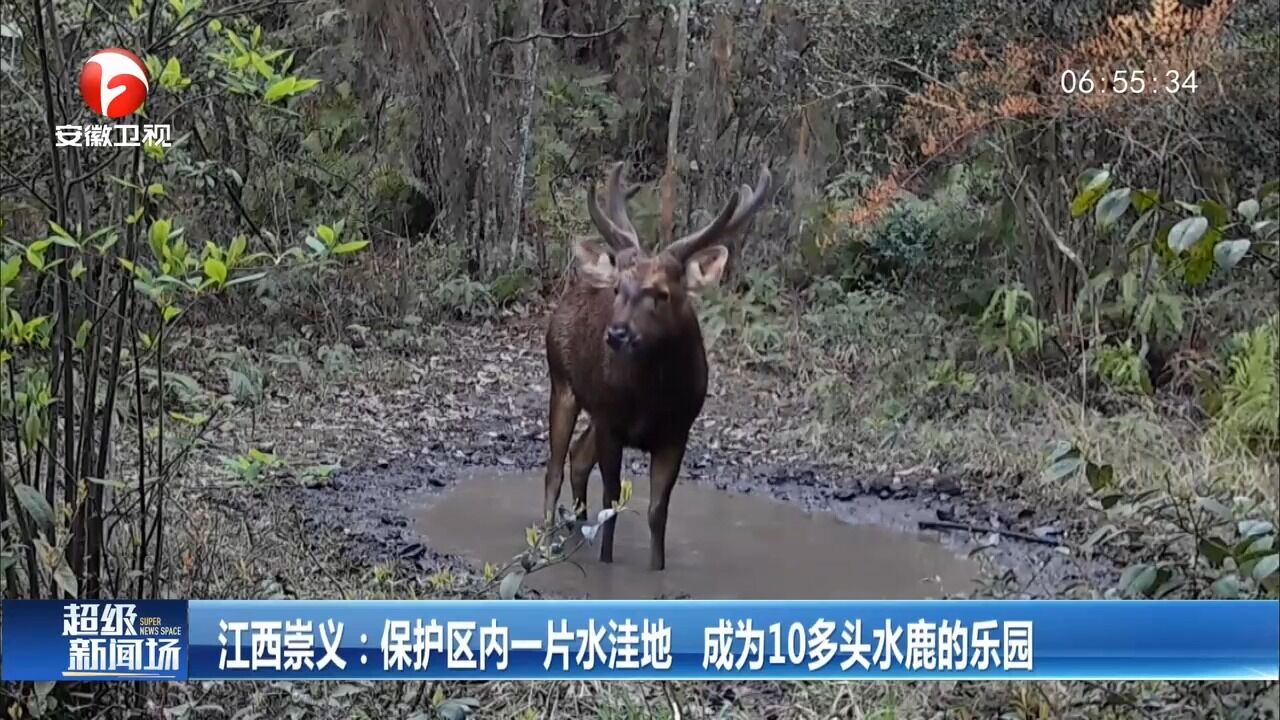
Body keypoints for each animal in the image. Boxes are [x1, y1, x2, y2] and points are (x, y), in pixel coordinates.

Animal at [540, 159, 768, 568]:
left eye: (662, 293)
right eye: (618, 288)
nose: (616, 333)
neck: (652, 398)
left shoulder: (676, 433)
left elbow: (657, 512)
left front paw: (655, 567)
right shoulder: (612, 423)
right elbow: (612, 501)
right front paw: (606, 561)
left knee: (578, 457)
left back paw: (577, 529)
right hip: (562, 382)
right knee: (553, 468)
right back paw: (548, 538)